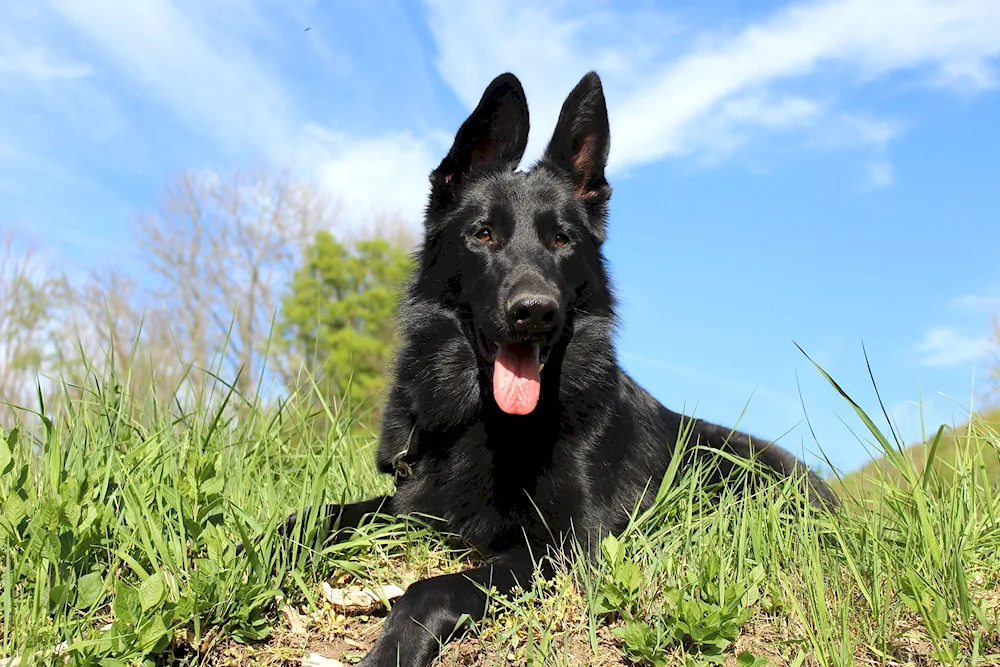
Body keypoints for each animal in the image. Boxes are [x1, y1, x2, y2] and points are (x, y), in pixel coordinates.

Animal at [282, 70, 836, 664]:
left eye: (562, 239)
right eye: (484, 234)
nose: (534, 312)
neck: (488, 420)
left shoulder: (568, 546)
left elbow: (435, 585)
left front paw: (393, 646)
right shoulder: (413, 503)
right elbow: (320, 514)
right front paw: (261, 548)